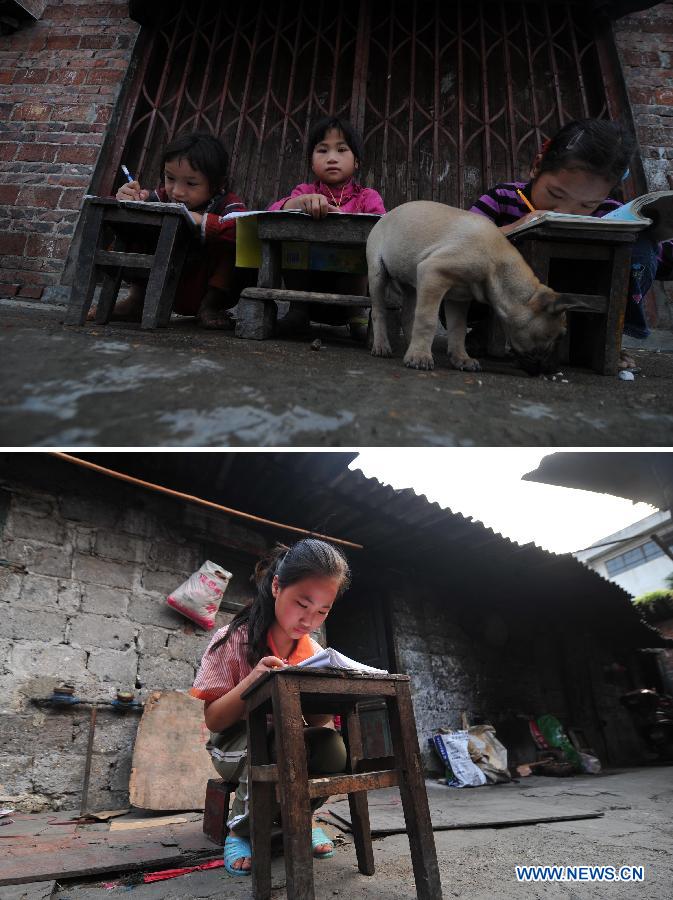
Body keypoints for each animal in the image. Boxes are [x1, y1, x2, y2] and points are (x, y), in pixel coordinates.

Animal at [364, 201, 580, 372]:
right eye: (557, 336)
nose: (552, 369)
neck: (497, 267)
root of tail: (388, 213)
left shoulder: (458, 297)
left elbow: (458, 328)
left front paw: (461, 358)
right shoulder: (433, 274)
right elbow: (427, 320)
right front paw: (420, 357)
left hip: (413, 284)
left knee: (409, 314)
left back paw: (412, 346)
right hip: (377, 274)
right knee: (379, 311)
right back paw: (383, 346)